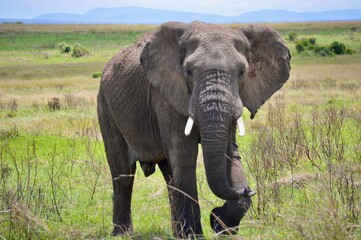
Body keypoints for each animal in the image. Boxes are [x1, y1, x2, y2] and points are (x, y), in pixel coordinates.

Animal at [96, 21, 290, 238]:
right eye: (188, 71)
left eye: (242, 72)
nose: (248, 190)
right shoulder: (165, 94)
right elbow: (184, 155)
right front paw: (194, 235)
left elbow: (227, 155)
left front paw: (219, 225)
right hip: (106, 106)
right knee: (123, 173)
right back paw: (123, 234)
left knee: (168, 175)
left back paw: (175, 233)